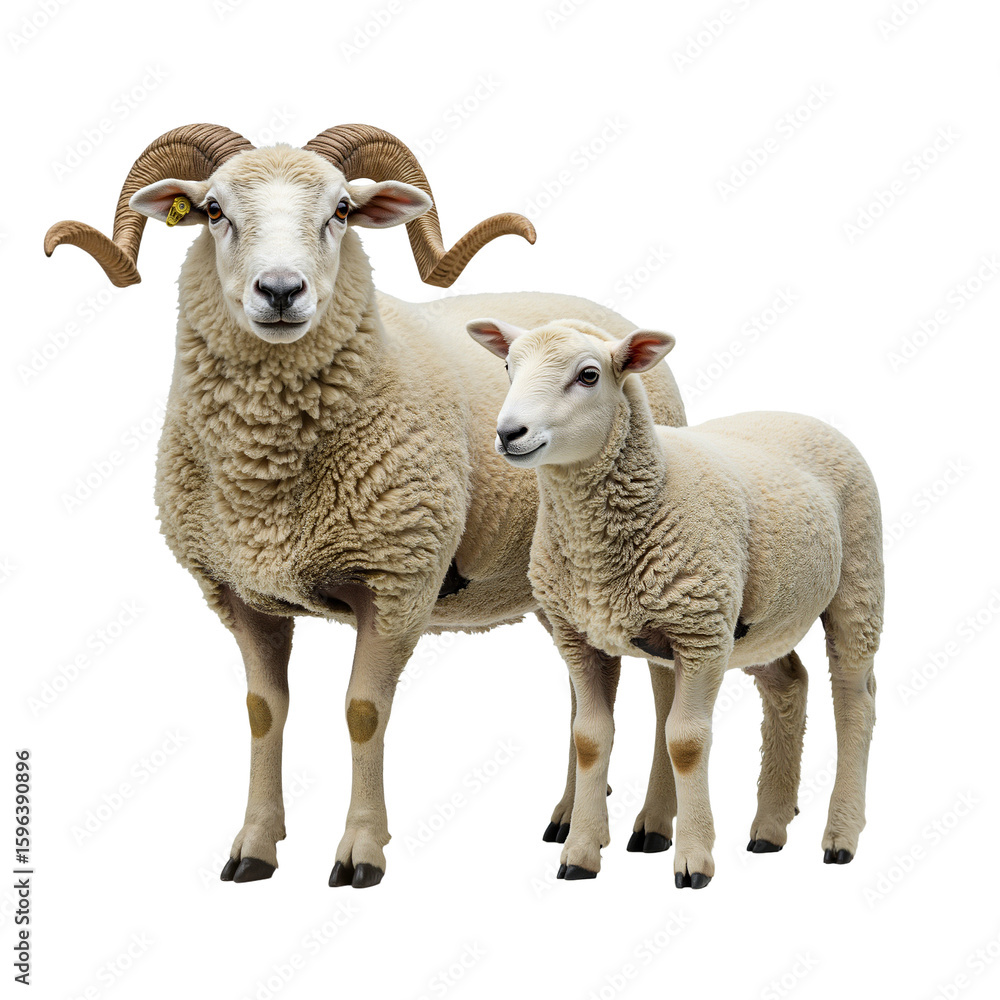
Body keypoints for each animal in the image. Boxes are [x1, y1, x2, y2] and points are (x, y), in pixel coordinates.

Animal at [43, 123, 688, 888]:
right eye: (213, 211)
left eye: (342, 211)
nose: (281, 290)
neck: (268, 480)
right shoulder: (240, 595)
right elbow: (263, 712)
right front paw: (254, 846)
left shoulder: (397, 584)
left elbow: (361, 713)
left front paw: (359, 851)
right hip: (557, 581)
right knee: (583, 690)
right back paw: (566, 818)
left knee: (659, 688)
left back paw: (651, 826)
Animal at [467, 317, 883, 887]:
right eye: (508, 367)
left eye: (589, 375)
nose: (510, 434)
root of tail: (799, 413)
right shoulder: (579, 635)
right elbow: (590, 738)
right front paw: (579, 854)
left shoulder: (700, 634)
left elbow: (685, 742)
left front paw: (693, 859)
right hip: (761, 620)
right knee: (790, 684)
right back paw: (770, 827)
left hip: (858, 583)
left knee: (854, 698)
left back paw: (841, 835)